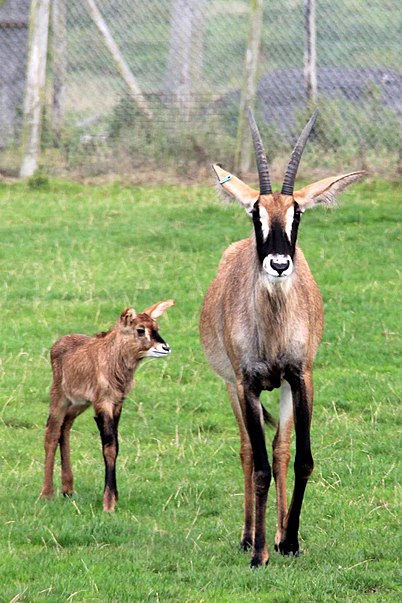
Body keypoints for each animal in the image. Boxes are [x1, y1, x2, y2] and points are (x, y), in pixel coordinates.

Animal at [41, 300, 175, 512]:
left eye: (156, 327)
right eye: (140, 329)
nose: (165, 347)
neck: (112, 360)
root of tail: (58, 343)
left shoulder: (117, 403)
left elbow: (116, 446)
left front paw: (114, 497)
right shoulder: (102, 404)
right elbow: (110, 446)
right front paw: (109, 503)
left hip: (79, 404)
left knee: (65, 427)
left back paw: (68, 489)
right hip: (60, 397)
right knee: (52, 433)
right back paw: (46, 493)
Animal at [199, 111, 366, 568]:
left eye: (298, 214)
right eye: (255, 213)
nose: (278, 263)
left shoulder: (300, 377)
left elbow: (300, 458)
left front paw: (288, 541)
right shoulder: (247, 384)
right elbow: (256, 465)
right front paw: (258, 554)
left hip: (283, 390)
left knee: (279, 451)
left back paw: (273, 532)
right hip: (231, 388)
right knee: (247, 450)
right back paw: (249, 536)